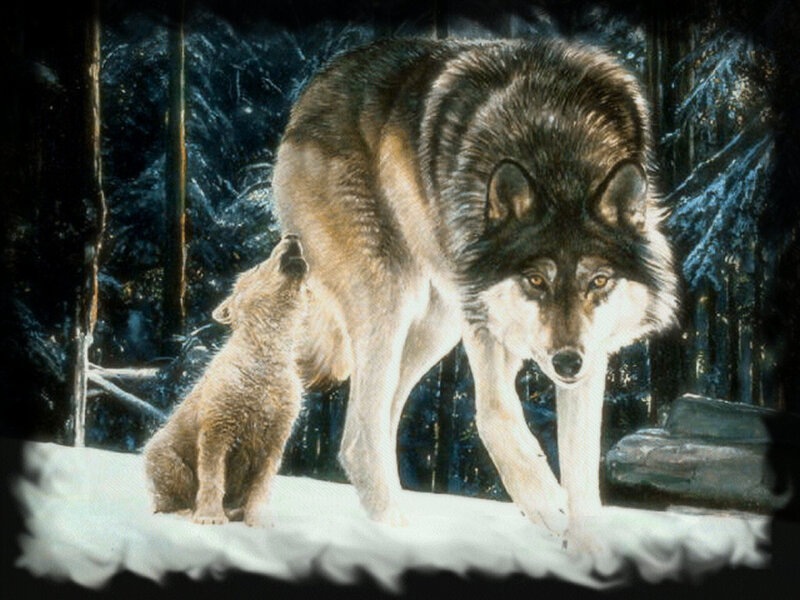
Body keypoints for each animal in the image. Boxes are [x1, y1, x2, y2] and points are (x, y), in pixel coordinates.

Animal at [144, 235, 308, 526]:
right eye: (257, 266)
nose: (292, 237)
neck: (263, 360)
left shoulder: (278, 425)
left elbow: (264, 478)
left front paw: (259, 518)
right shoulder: (221, 415)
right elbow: (212, 469)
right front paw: (210, 517)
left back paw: (235, 510)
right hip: (163, 452)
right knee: (169, 478)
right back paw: (186, 510)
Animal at [272, 38, 677, 535]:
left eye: (598, 281)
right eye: (535, 280)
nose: (567, 362)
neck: (555, 146)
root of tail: (312, 92)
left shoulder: (590, 347)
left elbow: (582, 472)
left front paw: (583, 540)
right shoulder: (482, 314)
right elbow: (496, 415)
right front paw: (546, 503)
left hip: (437, 326)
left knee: (371, 425)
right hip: (392, 298)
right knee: (360, 438)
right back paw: (396, 532)